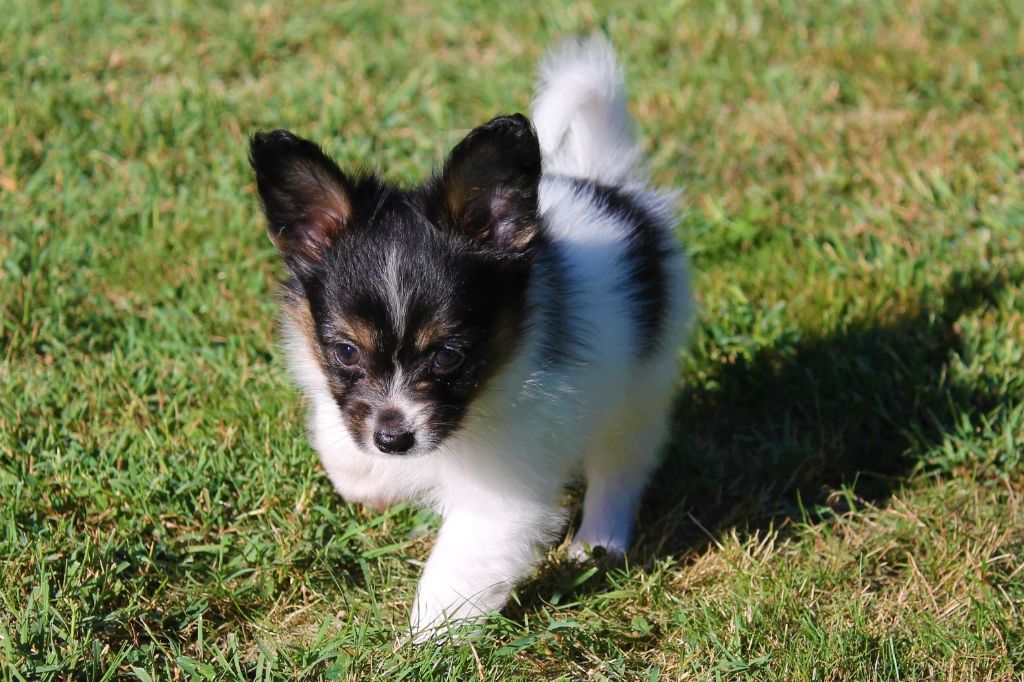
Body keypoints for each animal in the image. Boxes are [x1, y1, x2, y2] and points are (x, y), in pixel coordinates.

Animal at [248, 34, 696, 634]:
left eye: (448, 356)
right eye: (344, 351)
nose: (393, 439)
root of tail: (608, 183)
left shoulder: (501, 494)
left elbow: (454, 575)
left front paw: (422, 643)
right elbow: (342, 449)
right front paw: (372, 481)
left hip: (641, 383)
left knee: (621, 463)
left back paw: (598, 540)